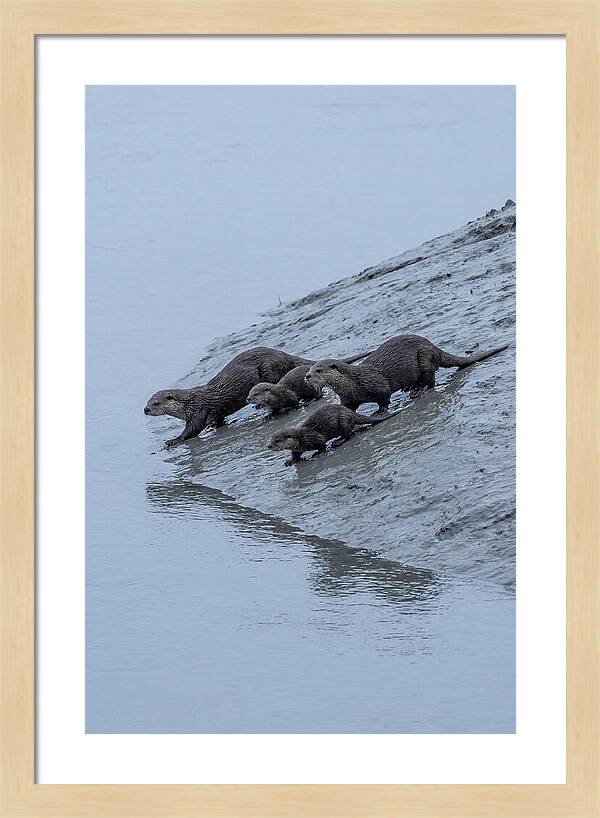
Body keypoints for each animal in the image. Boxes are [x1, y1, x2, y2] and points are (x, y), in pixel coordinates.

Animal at [267, 404, 401, 466]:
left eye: (277, 440)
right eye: (271, 439)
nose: (269, 446)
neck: (301, 438)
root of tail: (349, 412)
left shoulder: (315, 438)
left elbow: (322, 445)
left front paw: (317, 453)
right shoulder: (297, 449)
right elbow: (295, 456)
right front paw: (290, 461)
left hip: (342, 421)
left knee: (348, 434)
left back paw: (337, 442)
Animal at [305, 334, 508, 413]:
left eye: (319, 370)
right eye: (309, 369)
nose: (307, 376)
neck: (354, 383)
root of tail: (434, 347)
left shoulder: (377, 385)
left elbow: (384, 398)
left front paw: (379, 412)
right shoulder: (348, 399)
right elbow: (347, 409)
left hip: (424, 357)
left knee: (431, 380)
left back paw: (419, 390)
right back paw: (412, 387)